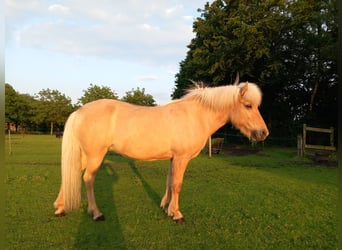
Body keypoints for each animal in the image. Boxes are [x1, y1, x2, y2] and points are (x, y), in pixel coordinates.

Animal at [53, 80, 268, 221]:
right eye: (248, 106)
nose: (263, 133)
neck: (195, 115)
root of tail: (79, 111)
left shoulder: (174, 158)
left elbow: (169, 182)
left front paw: (166, 207)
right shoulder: (182, 158)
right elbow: (177, 184)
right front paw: (177, 214)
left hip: (85, 155)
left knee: (71, 174)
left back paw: (60, 208)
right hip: (95, 155)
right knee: (88, 179)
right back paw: (96, 213)